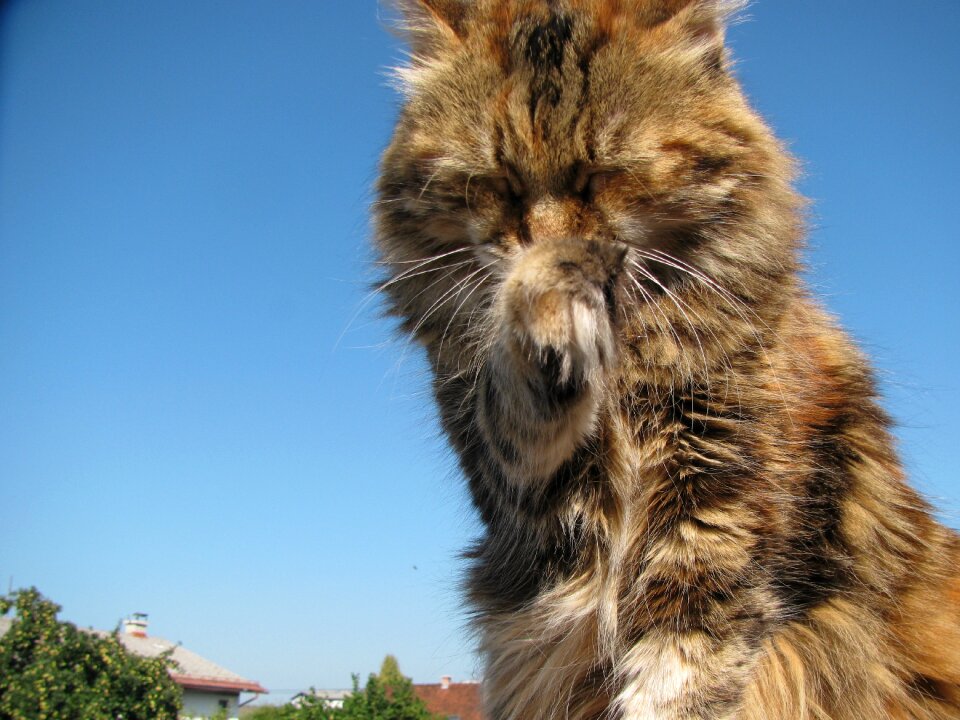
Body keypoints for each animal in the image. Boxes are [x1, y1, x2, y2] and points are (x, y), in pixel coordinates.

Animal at [372, 1, 956, 720]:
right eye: (500, 186)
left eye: (600, 176)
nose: (549, 244)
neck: (627, 373)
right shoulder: (524, 502)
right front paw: (541, 308)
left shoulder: (718, 521)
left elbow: (681, 679)